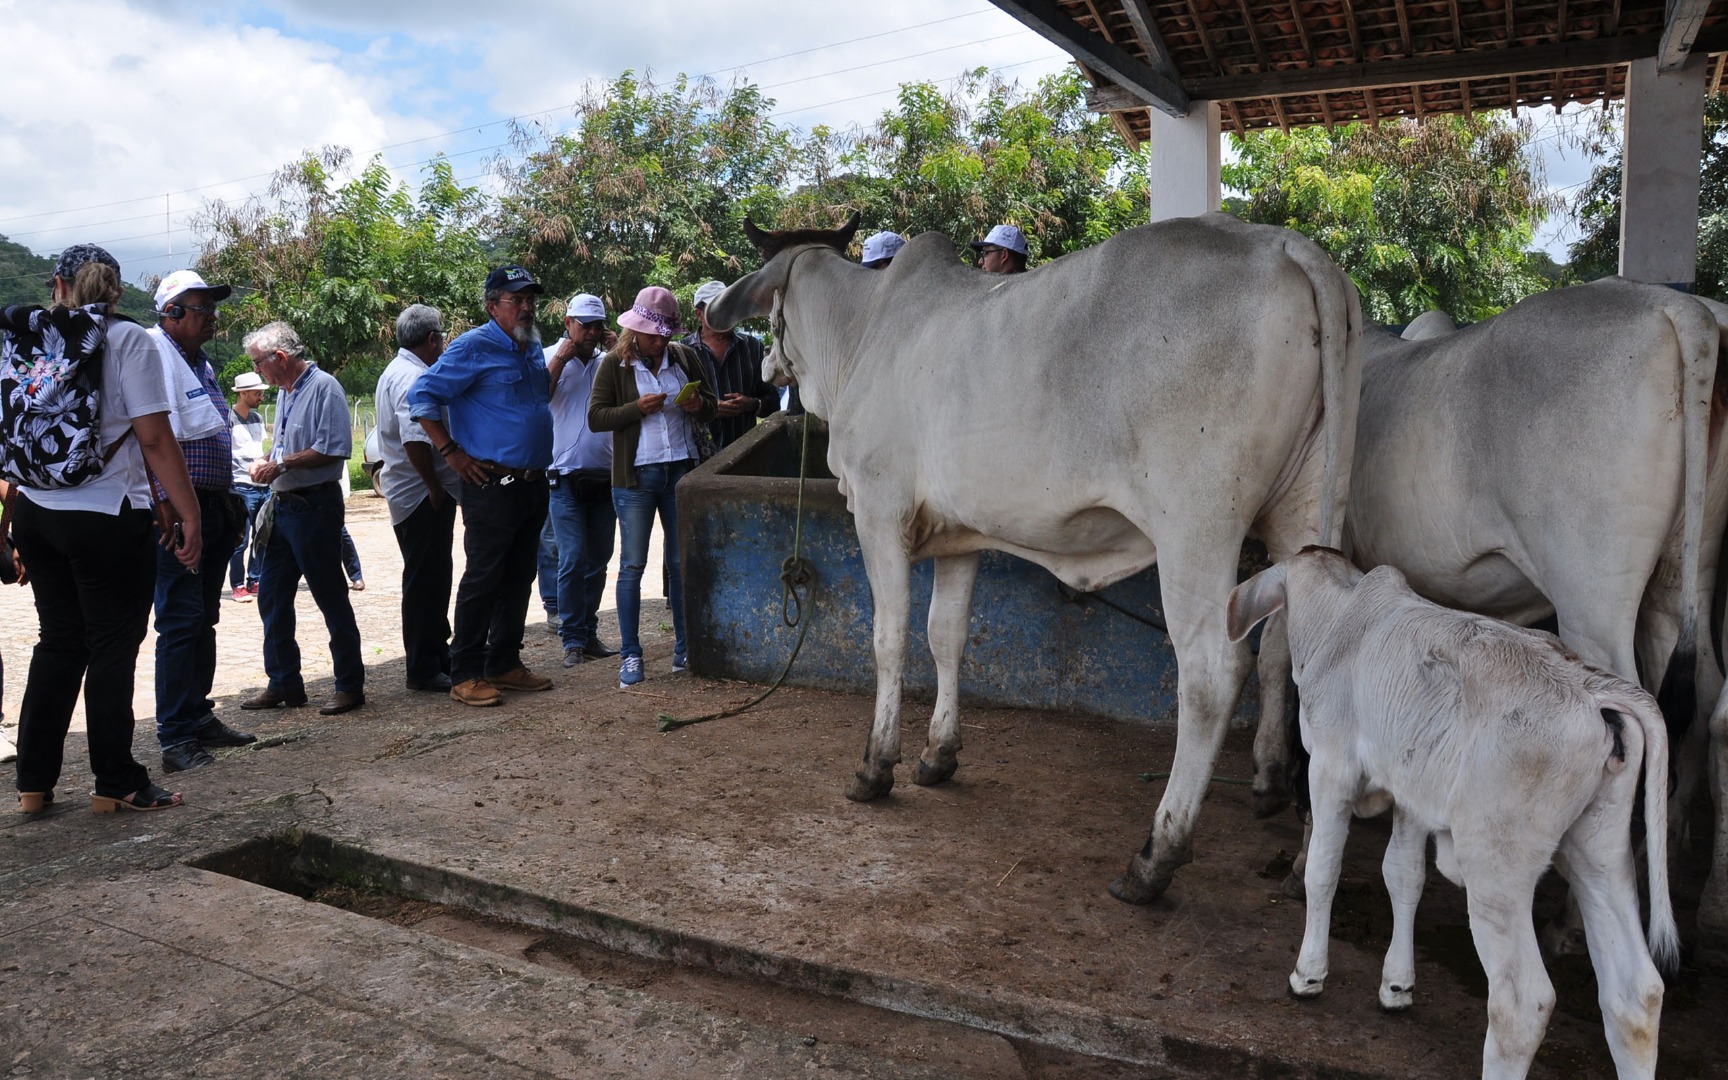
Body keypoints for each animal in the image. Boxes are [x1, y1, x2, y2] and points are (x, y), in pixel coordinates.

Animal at [708, 212, 1354, 898]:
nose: (767, 365)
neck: (862, 330)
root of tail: (1286, 245)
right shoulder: (959, 535)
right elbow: (946, 634)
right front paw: (938, 754)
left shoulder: (879, 512)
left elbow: (889, 638)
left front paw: (876, 766)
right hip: (1302, 510)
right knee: (1300, 659)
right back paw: (1302, 860)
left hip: (1198, 526)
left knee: (1213, 675)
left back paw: (1155, 857)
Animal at [1230, 546, 1672, 1078]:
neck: (1341, 620)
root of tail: (1593, 689)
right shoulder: (1409, 793)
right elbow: (1403, 876)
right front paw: (1396, 987)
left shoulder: (1330, 771)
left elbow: (1323, 869)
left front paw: (1308, 975)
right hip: (1599, 852)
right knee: (1635, 996)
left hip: (1496, 866)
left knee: (1521, 1004)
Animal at [1251, 281, 1721, 839]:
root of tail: (1677, 307)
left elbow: (1277, 650)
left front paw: (1275, 779)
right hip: (1682, 581)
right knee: (1705, 696)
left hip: (1594, 600)